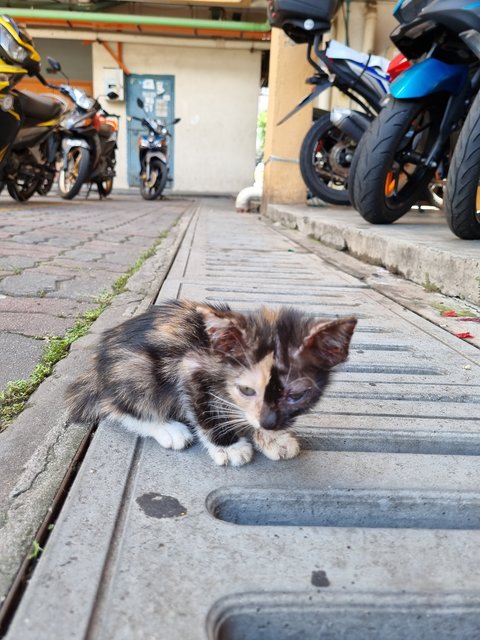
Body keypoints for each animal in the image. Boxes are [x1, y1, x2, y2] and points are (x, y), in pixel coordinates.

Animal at [64, 298, 356, 468]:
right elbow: (205, 409)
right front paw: (228, 446)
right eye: (247, 390)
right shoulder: (189, 366)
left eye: (296, 395)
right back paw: (168, 428)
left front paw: (273, 438)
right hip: (136, 370)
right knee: (118, 406)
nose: (269, 423)